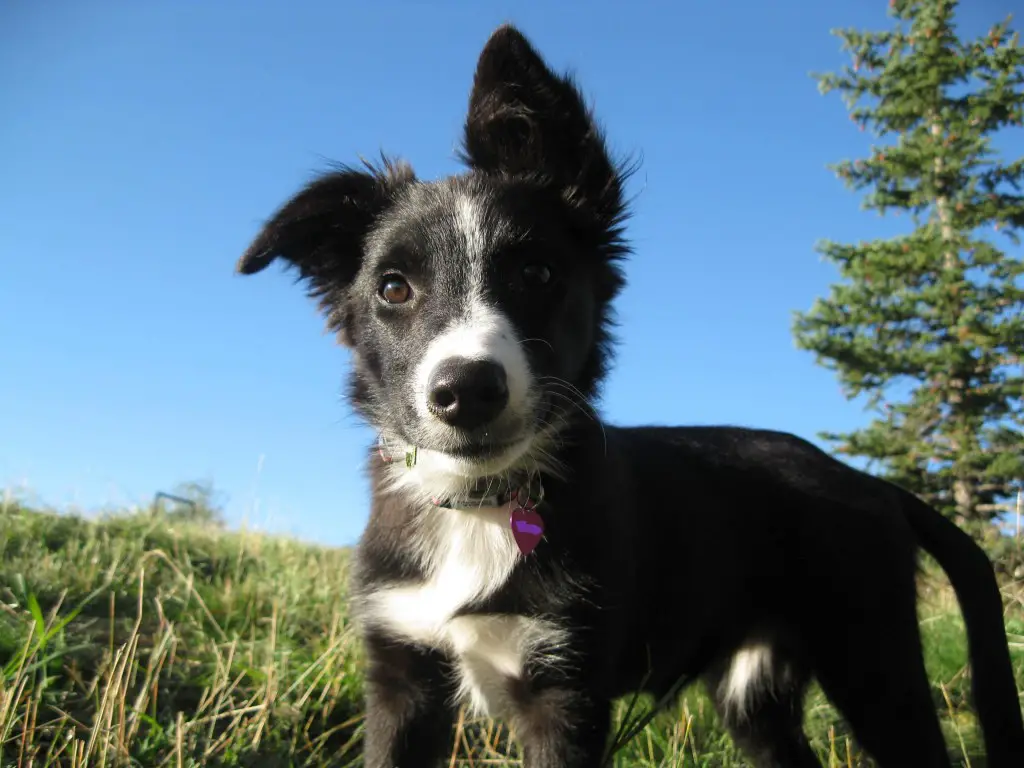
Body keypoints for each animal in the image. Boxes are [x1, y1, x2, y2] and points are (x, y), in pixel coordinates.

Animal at [235, 22, 1024, 768]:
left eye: (538, 273)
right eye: (394, 288)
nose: (466, 392)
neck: (481, 505)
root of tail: (870, 484)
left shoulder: (567, 692)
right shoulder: (402, 673)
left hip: (874, 662)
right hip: (757, 695)